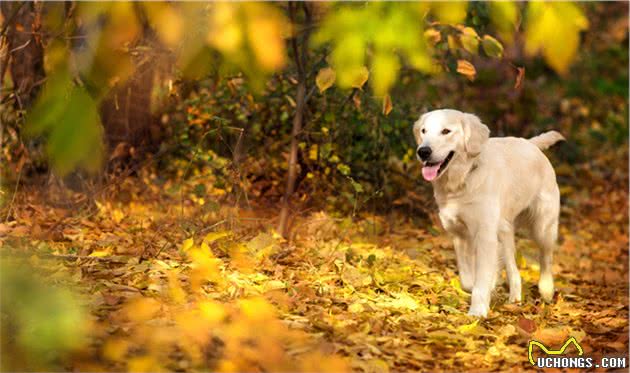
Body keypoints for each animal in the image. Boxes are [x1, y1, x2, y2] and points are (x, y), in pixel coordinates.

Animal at [414, 109, 568, 316]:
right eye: (424, 131)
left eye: (446, 131)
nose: (423, 151)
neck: (463, 179)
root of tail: (531, 143)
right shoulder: (459, 234)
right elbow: (468, 278)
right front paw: (485, 290)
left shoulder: (484, 234)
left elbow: (481, 276)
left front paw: (477, 311)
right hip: (505, 232)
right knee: (513, 269)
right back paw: (514, 297)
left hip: (543, 227)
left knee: (546, 258)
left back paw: (546, 289)